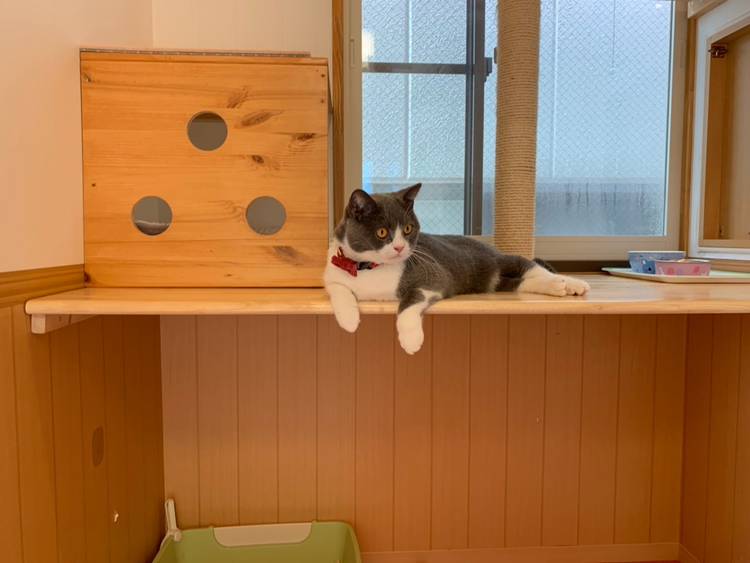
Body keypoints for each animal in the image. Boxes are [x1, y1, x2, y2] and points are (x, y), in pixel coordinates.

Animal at [324, 184, 590, 354]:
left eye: (408, 229)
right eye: (381, 232)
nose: (400, 248)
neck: (371, 268)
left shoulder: (432, 275)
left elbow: (410, 302)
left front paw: (411, 340)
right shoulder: (332, 273)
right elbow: (339, 289)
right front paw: (349, 320)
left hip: (495, 259)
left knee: (531, 266)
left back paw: (570, 283)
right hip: (493, 281)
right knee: (520, 281)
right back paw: (559, 287)